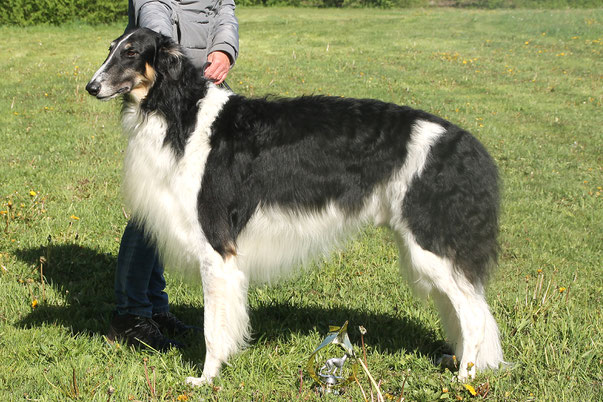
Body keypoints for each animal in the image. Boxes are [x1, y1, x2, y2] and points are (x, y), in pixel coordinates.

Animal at [86, 28, 504, 386]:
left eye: (131, 52)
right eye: (111, 48)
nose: (91, 87)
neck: (183, 115)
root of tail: (467, 143)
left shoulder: (217, 249)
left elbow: (212, 331)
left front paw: (206, 378)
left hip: (430, 247)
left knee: (474, 316)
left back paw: (464, 378)